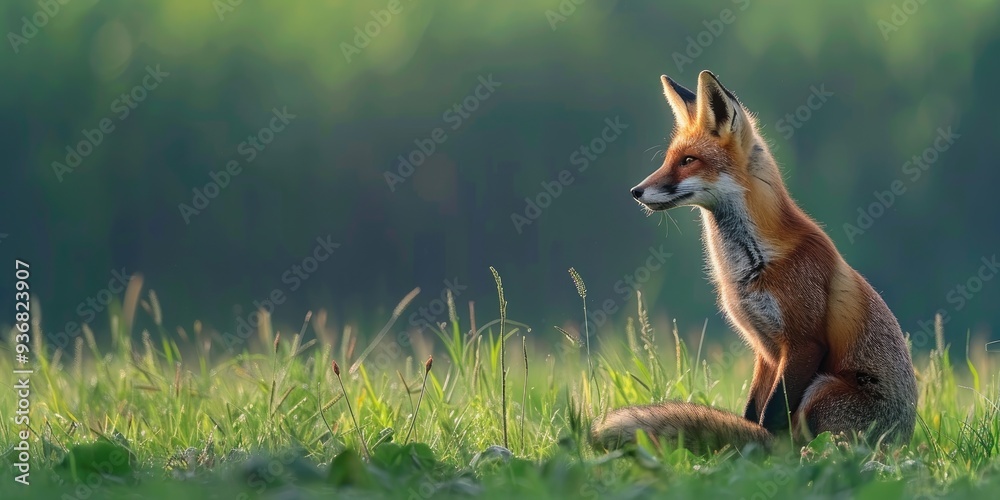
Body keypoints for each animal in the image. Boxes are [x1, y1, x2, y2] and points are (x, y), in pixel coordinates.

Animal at [590, 70, 918, 454]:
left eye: (688, 160)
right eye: (669, 159)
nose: (636, 191)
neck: (752, 263)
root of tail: (902, 444)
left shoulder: (803, 343)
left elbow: (770, 418)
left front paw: (764, 455)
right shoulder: (765, 350)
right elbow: (752, 411)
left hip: (823, 389)